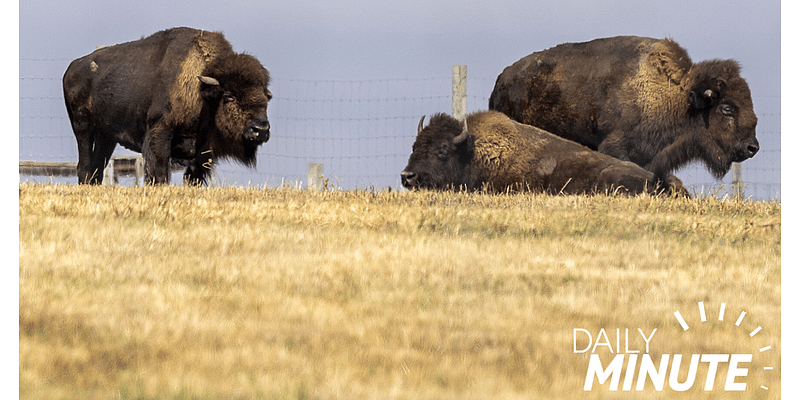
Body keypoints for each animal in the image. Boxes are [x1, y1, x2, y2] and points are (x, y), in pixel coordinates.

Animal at [61, 26, 272, 184]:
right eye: (229, 96)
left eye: (265, 96)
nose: (260, 129)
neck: (203, 92)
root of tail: (72, 68)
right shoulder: (161, 132)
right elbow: (160, 171)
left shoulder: (202, 153)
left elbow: (192, 177)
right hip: (83, 128)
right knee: (85, 164)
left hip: (106, 136)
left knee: (97, 166)